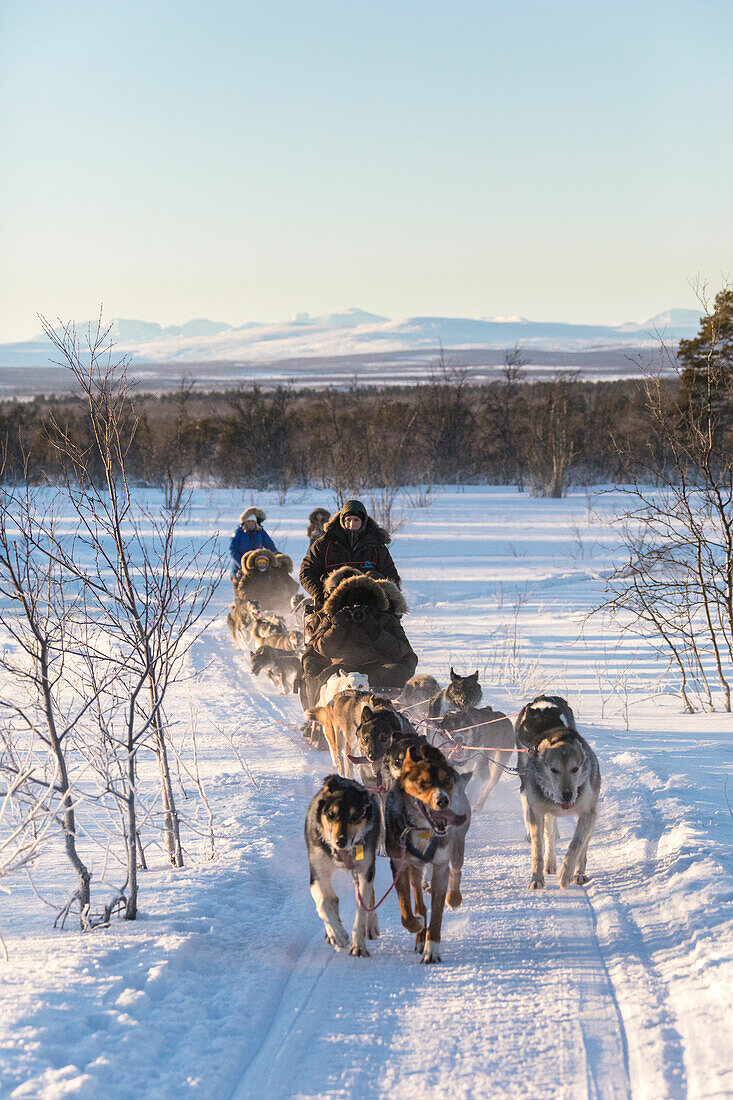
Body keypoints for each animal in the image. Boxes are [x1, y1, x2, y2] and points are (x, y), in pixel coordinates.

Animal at [303, 774, 378, 954]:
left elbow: (361, 910)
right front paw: (336, 934)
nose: (341, 841)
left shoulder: (365, 871)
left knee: (370, 897)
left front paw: (358, 945)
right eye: (331, 815)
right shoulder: (317, 875)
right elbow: (323, 904)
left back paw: (371, 925)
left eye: (355, 817)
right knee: (332, 899)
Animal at [383, 739, 468, 963]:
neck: (422, 830)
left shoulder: (440, 866)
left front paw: (432, 950)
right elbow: (406, 909)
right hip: (415, 868)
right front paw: (418, 926)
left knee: (457, 869)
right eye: (423, 784)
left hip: (458, 844)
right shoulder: (399, 863)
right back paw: (420, 931)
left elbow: (437, 914)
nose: (443, 800)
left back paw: (453, 897)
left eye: (446, 781)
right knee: (418, 900)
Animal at [512, 699, 598, 888]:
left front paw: (566, 874)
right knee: (548, 835)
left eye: (575, 769)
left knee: (583, 847)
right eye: (553, 769)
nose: (567, 795)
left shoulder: (587, 813)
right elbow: (538, 848)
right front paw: (536, 879)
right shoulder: (537, 811)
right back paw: (550, 861)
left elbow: (576, 845)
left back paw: (579, 873)